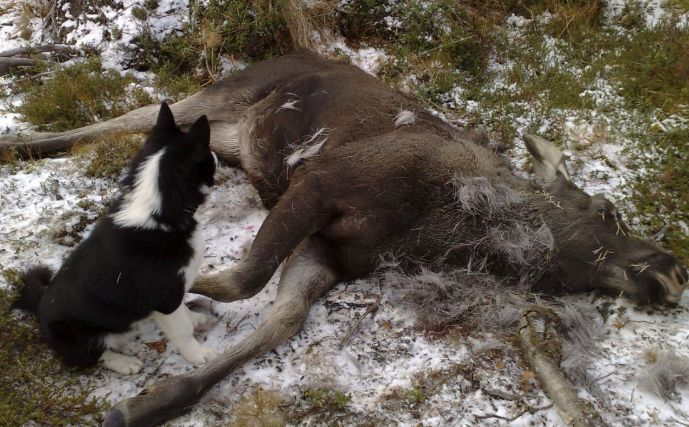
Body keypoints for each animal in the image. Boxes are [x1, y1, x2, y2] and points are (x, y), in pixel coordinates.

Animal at [14, 103, 218, 374]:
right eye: (207, 152)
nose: (217, 155)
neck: (159, 214)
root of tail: (38, 307)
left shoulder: (174, 292)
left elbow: (184, 311)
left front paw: (196, 319)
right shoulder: (165, 297)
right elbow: (182, 330)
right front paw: (199, 355)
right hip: (77, 336)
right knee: (93, 355)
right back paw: (124, 362)